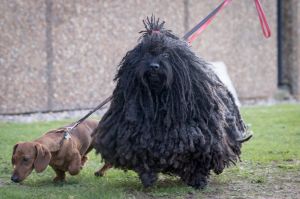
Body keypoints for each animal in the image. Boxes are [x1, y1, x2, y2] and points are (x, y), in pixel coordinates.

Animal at [93, 16, 251, 189]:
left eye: (166, 54)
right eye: (146, 54)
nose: (154, 66)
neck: (161, 100)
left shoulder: (202, 138)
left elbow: (199, 158)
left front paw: (198, 180)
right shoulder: (135, 134)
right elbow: (142, 155)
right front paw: (148, 178)